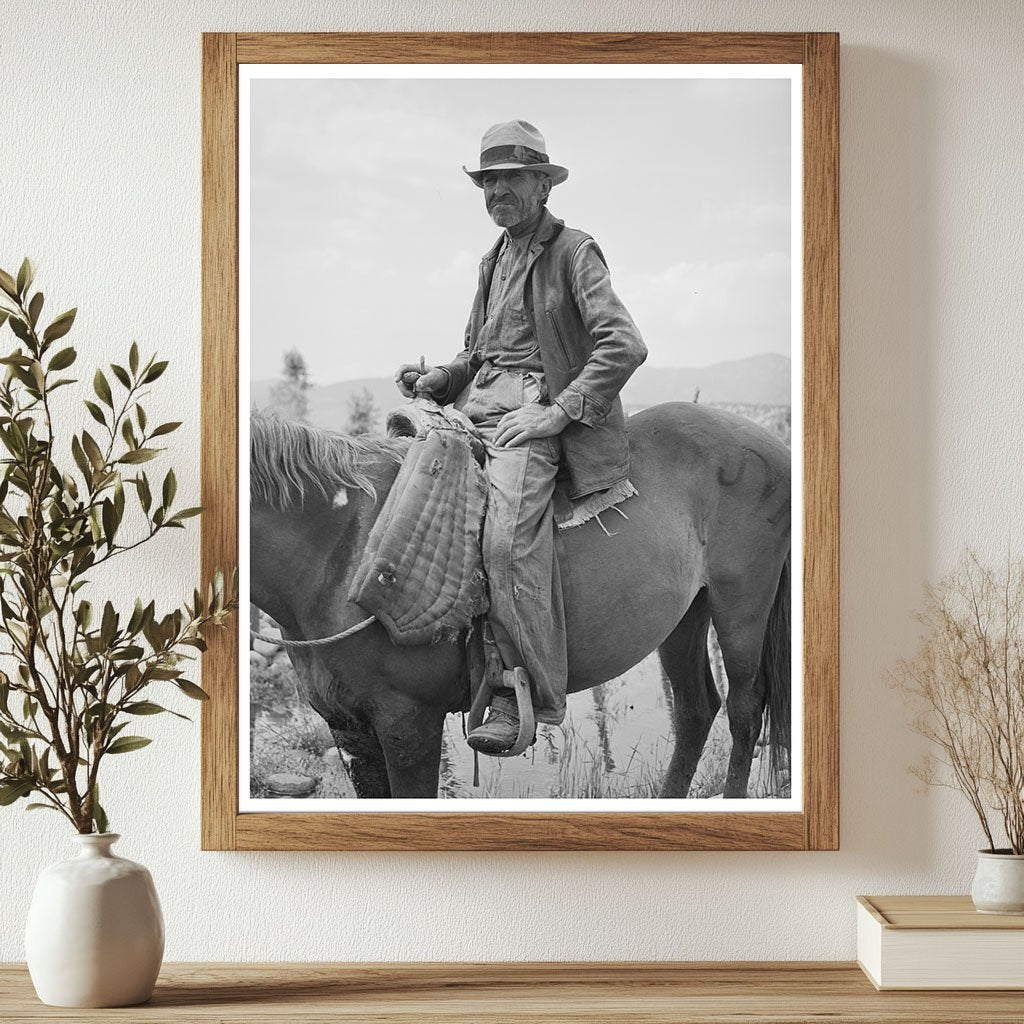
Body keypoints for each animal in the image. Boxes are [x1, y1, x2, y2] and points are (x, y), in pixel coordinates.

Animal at [247, 399, 790, 798]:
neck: (340, 548)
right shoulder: (350, 730)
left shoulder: (408, 725)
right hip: (684, 617)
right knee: (696, 709)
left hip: (741, 606)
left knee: (745, 709)